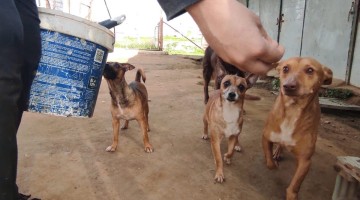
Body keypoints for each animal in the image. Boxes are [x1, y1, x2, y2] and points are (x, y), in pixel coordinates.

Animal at [260, 57, 334, 199]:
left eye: (310, 70)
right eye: (285, 68)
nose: (288, 86)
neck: (292, 112)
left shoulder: (305, 161)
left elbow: (295, 185)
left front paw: (291, 194)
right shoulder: (266, 137)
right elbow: (269, 162)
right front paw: (274, 163)